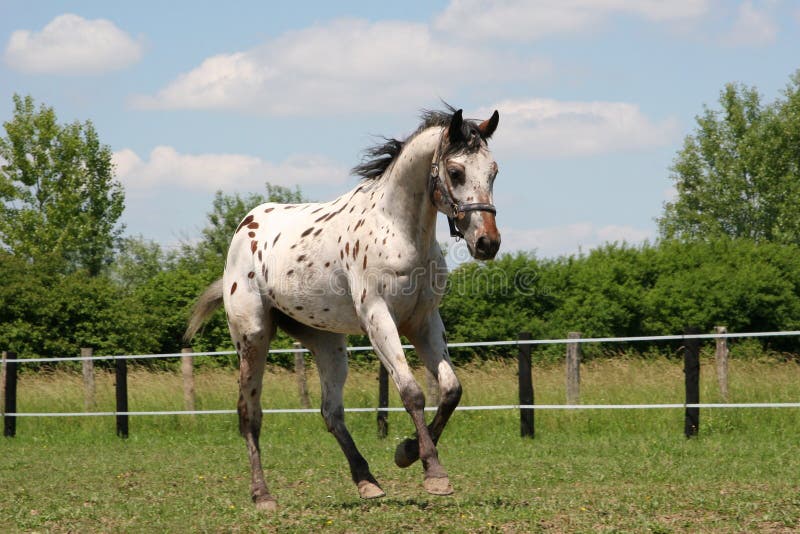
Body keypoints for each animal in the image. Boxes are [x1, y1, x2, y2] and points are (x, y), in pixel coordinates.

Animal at [184, 107, 504, 512]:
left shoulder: (425, 322)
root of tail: (245, 227)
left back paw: (367, 481)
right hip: (252, 338)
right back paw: (263, 495)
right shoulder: (378, 318)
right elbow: (411, 392)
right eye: (456, 171)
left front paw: (406, 452)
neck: (399, 230)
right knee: (249, 414)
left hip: (328, 345)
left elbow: (450, 390)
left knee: (331, 412)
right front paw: (434, 474)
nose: (487, 243)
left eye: (494, 171)